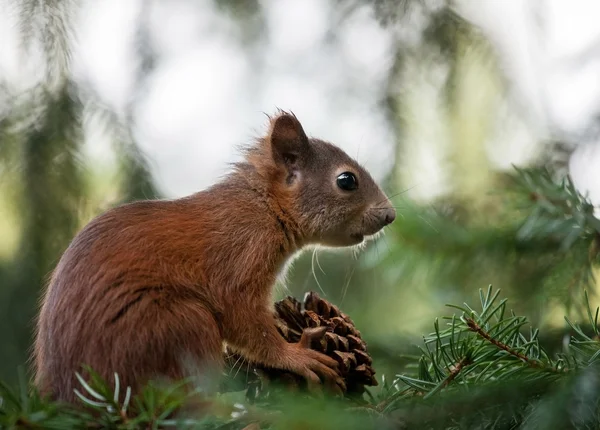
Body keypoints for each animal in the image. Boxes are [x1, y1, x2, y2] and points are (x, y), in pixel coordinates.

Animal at [34, 111, 398, 404]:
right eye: (346, 180)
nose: (390, 215)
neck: (264, 207)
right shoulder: (241, 257)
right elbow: (244, 319)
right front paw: (295, 355)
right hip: (178, 324)